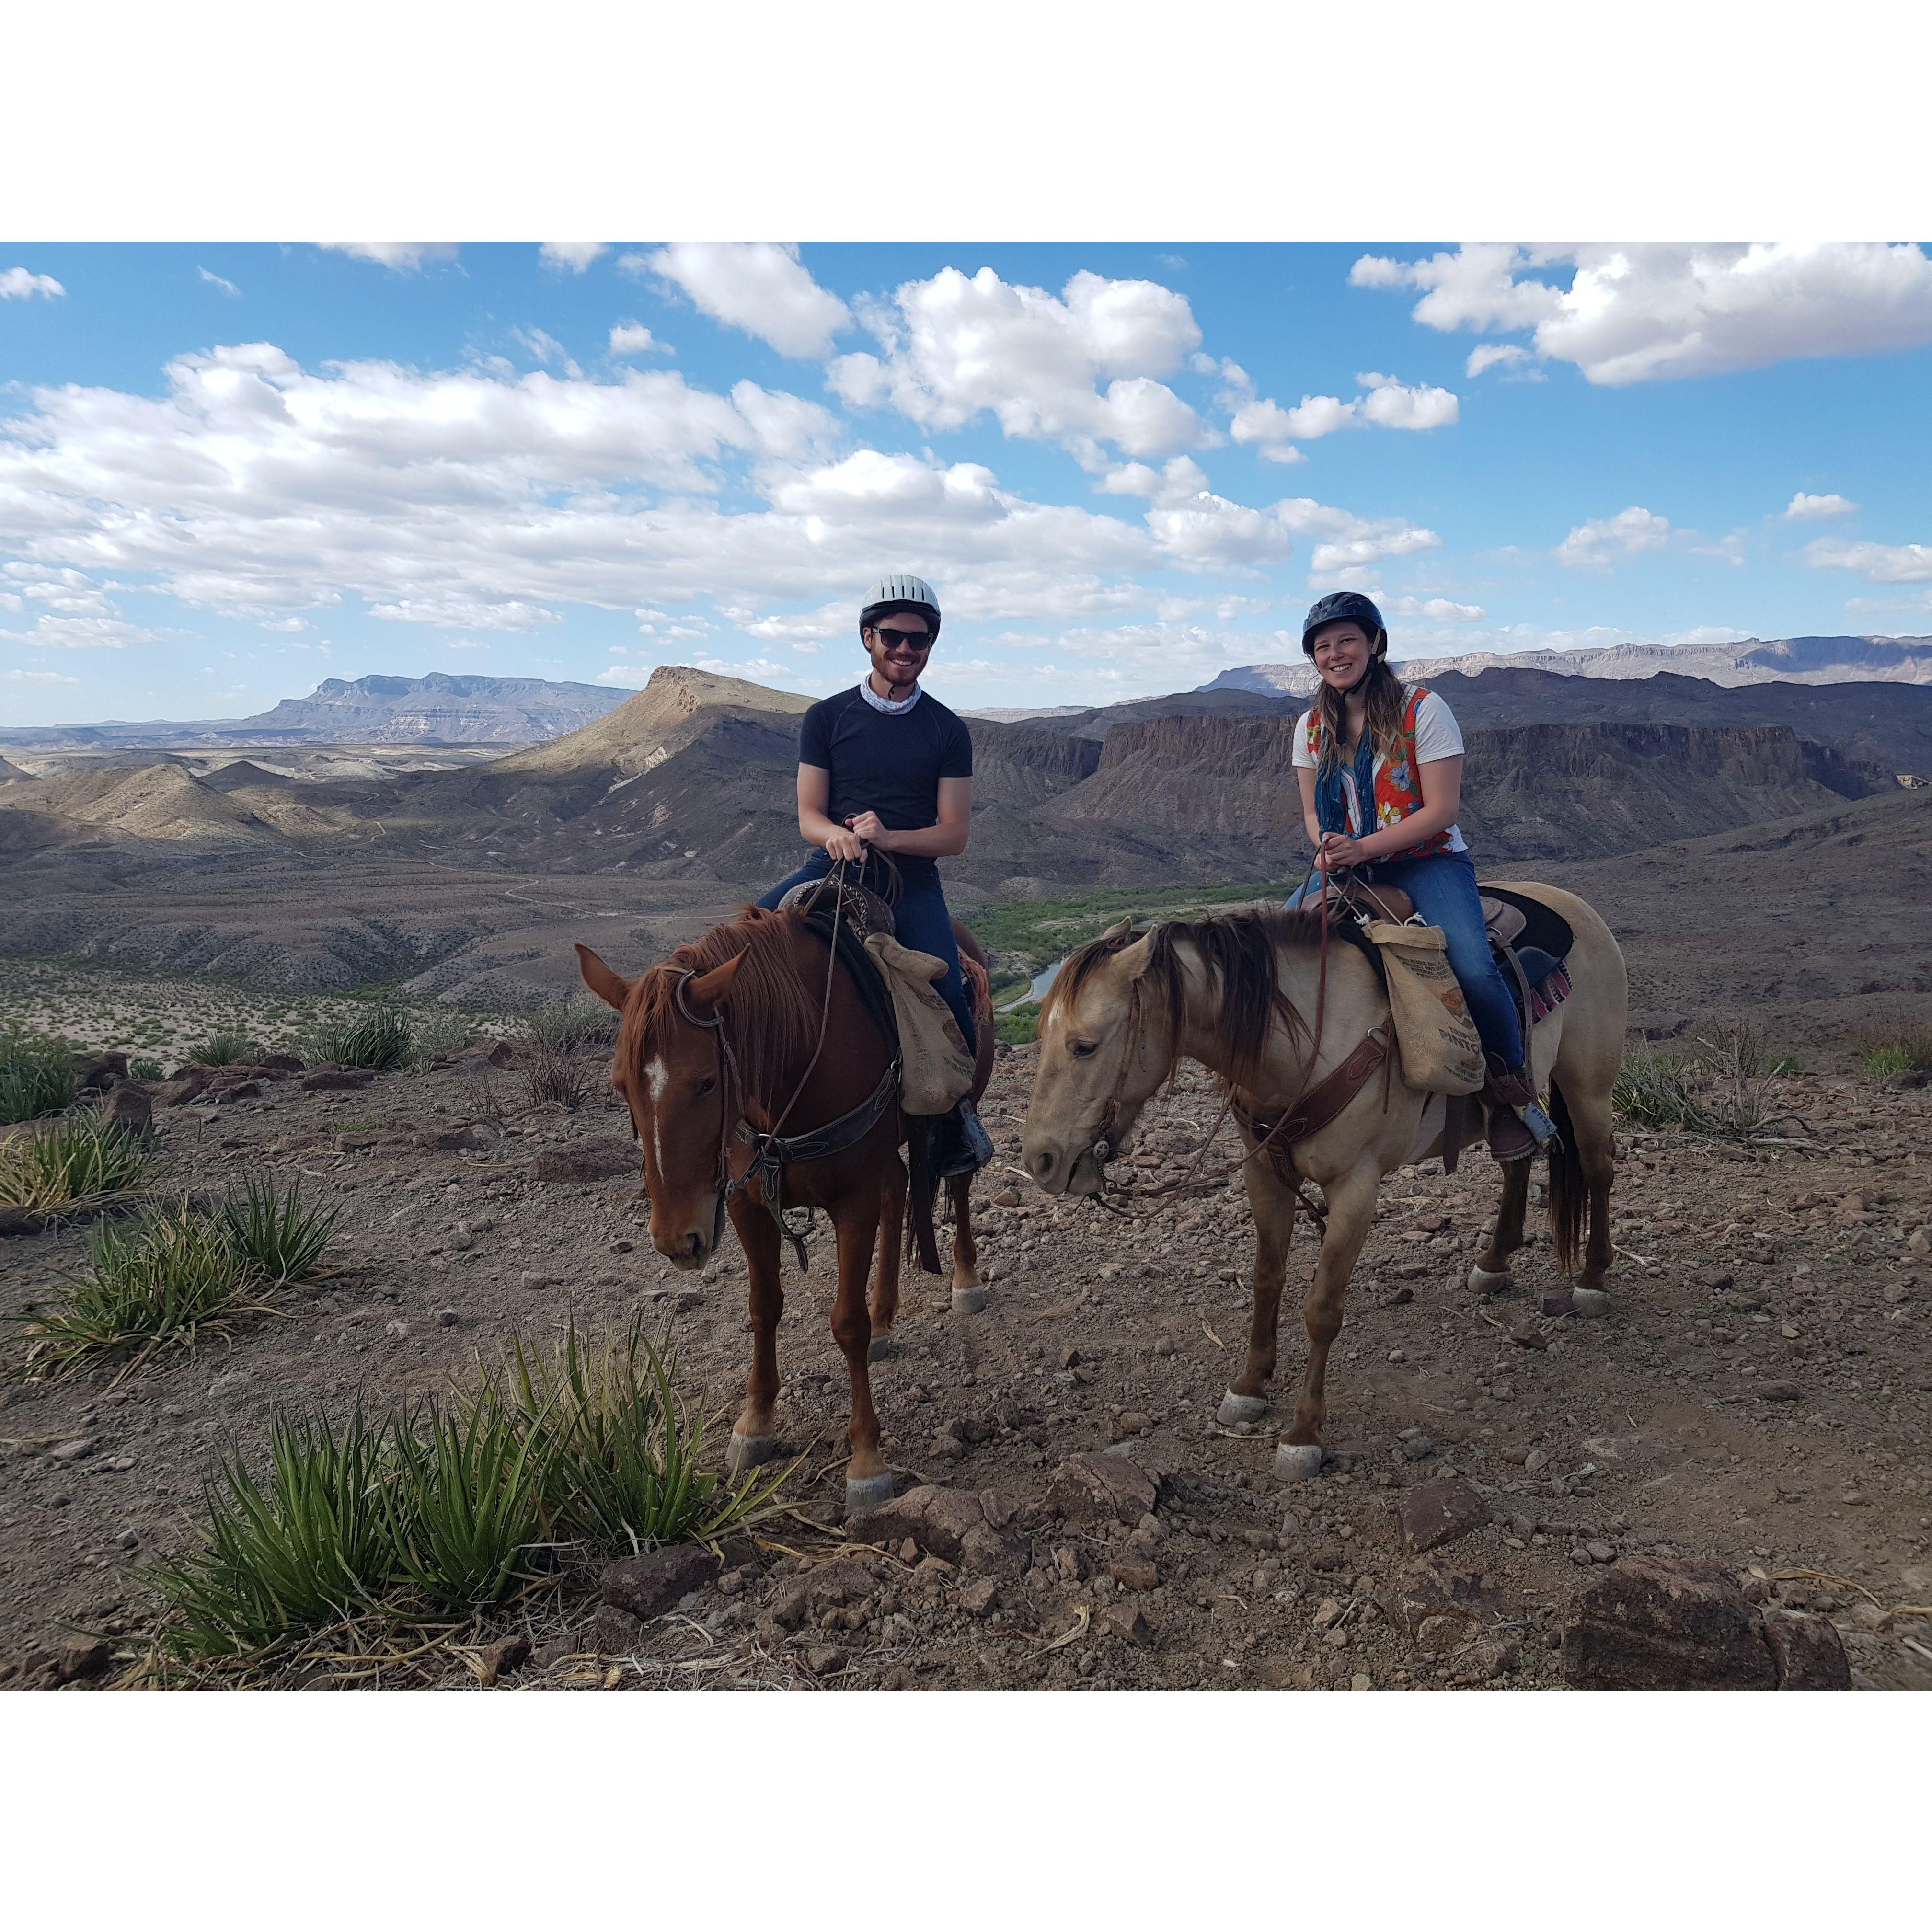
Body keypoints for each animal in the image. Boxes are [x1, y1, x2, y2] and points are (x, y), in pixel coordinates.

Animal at [572, 896, 997, 1515]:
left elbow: (846, 1324)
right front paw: (755, 1424)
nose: (677, 1240)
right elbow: (764, 1308)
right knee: (899, 1190)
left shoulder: (852, 1200)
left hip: (960, 1108)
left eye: (707, 1083)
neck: (796, 1057)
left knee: (956, 1189)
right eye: (621, 1085)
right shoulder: (749, 1205)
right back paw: (886, 1316)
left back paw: (964, 1280)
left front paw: (866, 1461)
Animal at [1020, 885, 1622, 1476]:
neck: (1303, 1043)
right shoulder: (1264, 1174)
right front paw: (1249, 1387)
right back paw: (1495, 1263)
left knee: (1599, 1168)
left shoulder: (1356, 1189)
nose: (1041, 1160)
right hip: (1512, 1109)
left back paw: (1593, 1280)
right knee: (1517, 1160)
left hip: (1587, 1086)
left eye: (1085, 1044)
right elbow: (1267, 1280)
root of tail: (1576, 904)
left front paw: (1303, 1434)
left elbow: (1323, 1310)